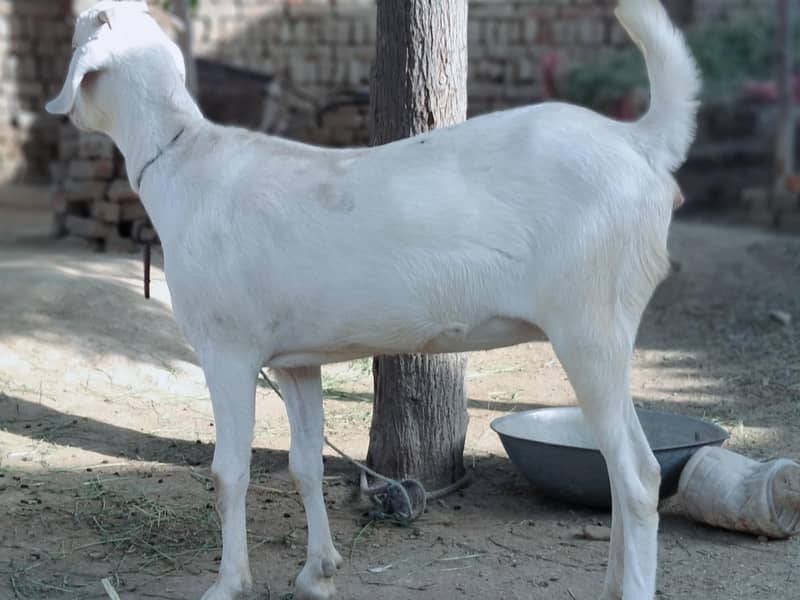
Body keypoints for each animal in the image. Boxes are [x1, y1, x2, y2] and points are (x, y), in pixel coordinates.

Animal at [46, 1, 700, 598]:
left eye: (77, 37)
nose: (66, 111)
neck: (183, 157)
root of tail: (639, 143)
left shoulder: (227, 349)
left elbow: (230, 472)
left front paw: (229, 583)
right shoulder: (295, 362)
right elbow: (304, 464)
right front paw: (318, 571)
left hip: (591, 323)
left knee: (638, 476)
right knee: (620, 467)